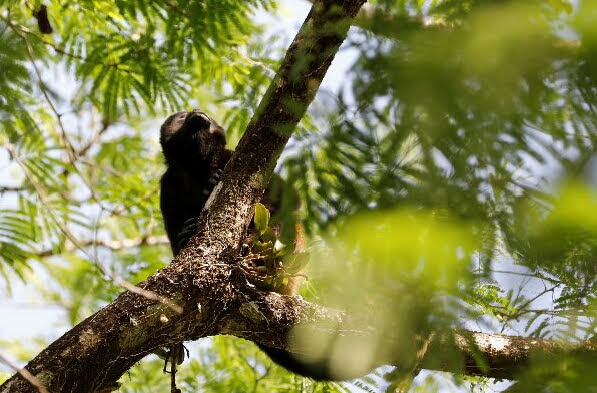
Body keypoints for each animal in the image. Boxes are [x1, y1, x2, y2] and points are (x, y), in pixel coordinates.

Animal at [158, 109, 342, 380]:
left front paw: (214, 182)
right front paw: (184, 236)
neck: (197, 166)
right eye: (181, 117)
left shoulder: (232, 157)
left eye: (198, 112)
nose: (197, 114)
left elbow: (290, 200)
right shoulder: (167, 187)